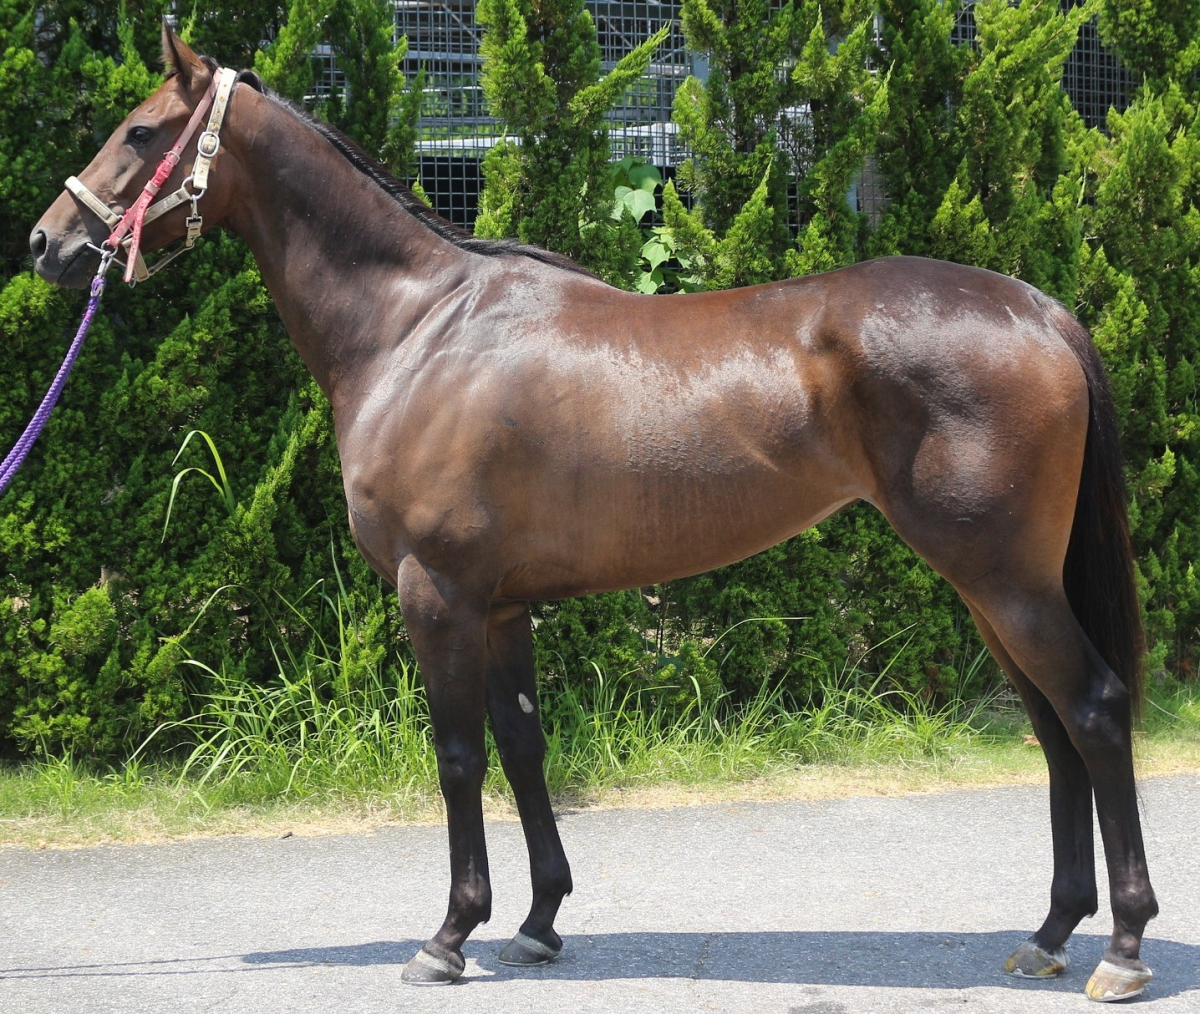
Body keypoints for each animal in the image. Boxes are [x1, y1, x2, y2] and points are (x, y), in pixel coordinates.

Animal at [30, 27, 1157, 1000]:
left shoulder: (437, 594)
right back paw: (1049, 934)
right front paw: (537, 923)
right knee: (1054, 730)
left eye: (141, 131)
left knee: (1094, 711)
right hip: (992, 587)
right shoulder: (500, 604)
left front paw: (448, 937)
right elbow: (524, 747)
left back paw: (1122, 949)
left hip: (1003, 580)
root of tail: (1039, 309)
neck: (418, 330)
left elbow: (457, 756)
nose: (49, 241)